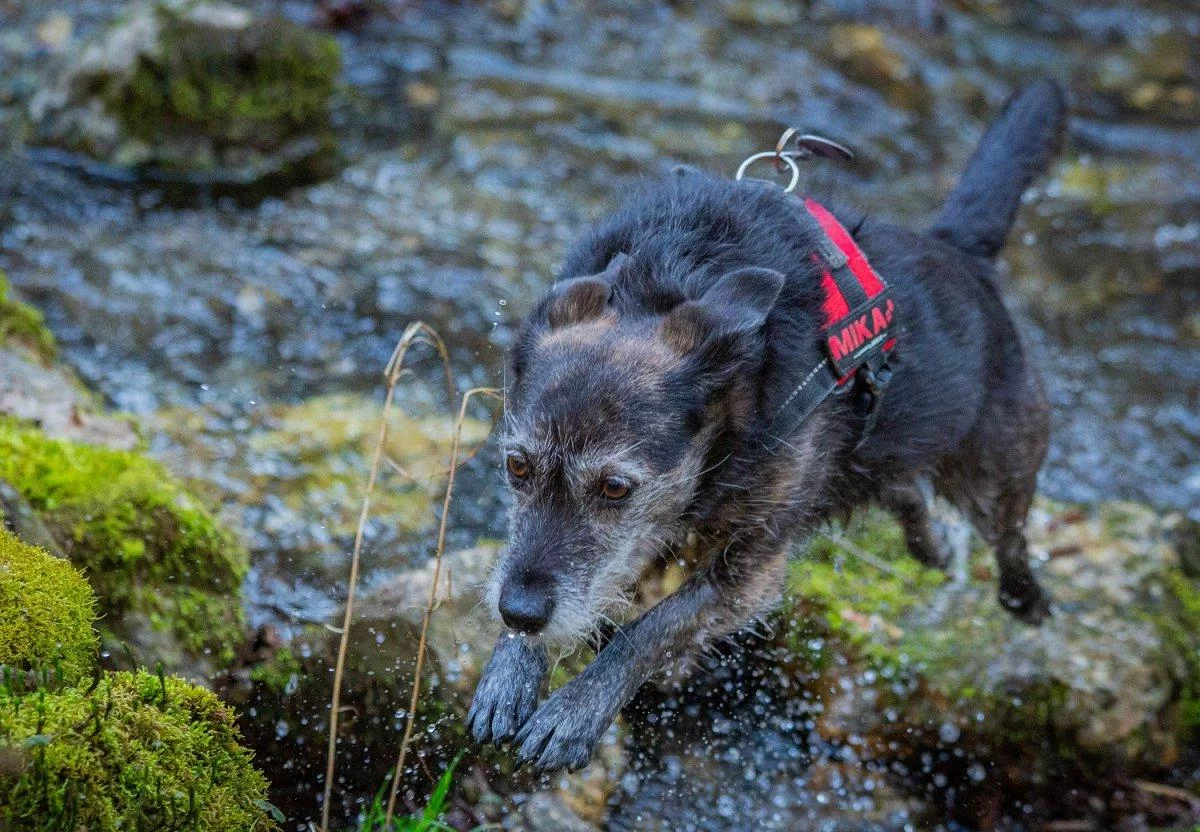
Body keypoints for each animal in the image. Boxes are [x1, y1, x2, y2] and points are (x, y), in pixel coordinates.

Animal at [463, 81, 1065, 768]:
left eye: (615, 487)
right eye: (516, 466)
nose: (518, 612)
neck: (669, 276)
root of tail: (961, 255)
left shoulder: (750, 568)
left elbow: (651, 628)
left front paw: (575, 709)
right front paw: (511, 670)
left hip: (997, 466)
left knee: (1008, 538)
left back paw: (1027, 600)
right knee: (905, 491)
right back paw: (932, 547)